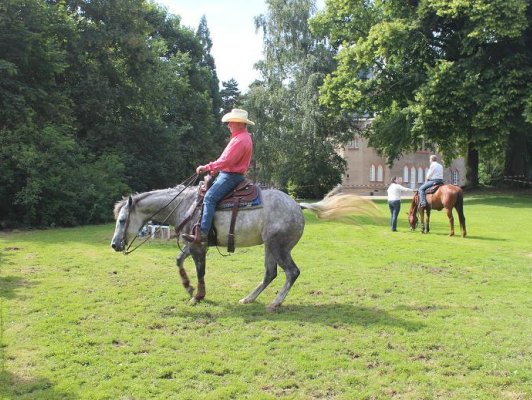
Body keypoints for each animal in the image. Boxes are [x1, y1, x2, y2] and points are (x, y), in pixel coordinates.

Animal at [111, 186, 374, 310]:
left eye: (122, 220)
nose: (114, 244)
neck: (187, 206)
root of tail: (298, 205)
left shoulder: (199, 246)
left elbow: (200, 271)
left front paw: (198, 295)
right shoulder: (191, 244)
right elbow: (178, 260)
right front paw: (188, 288)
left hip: (278, 246)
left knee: (291, 272)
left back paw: (275, 303)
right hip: (269, 247)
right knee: (270, 273)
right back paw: (248, 298)